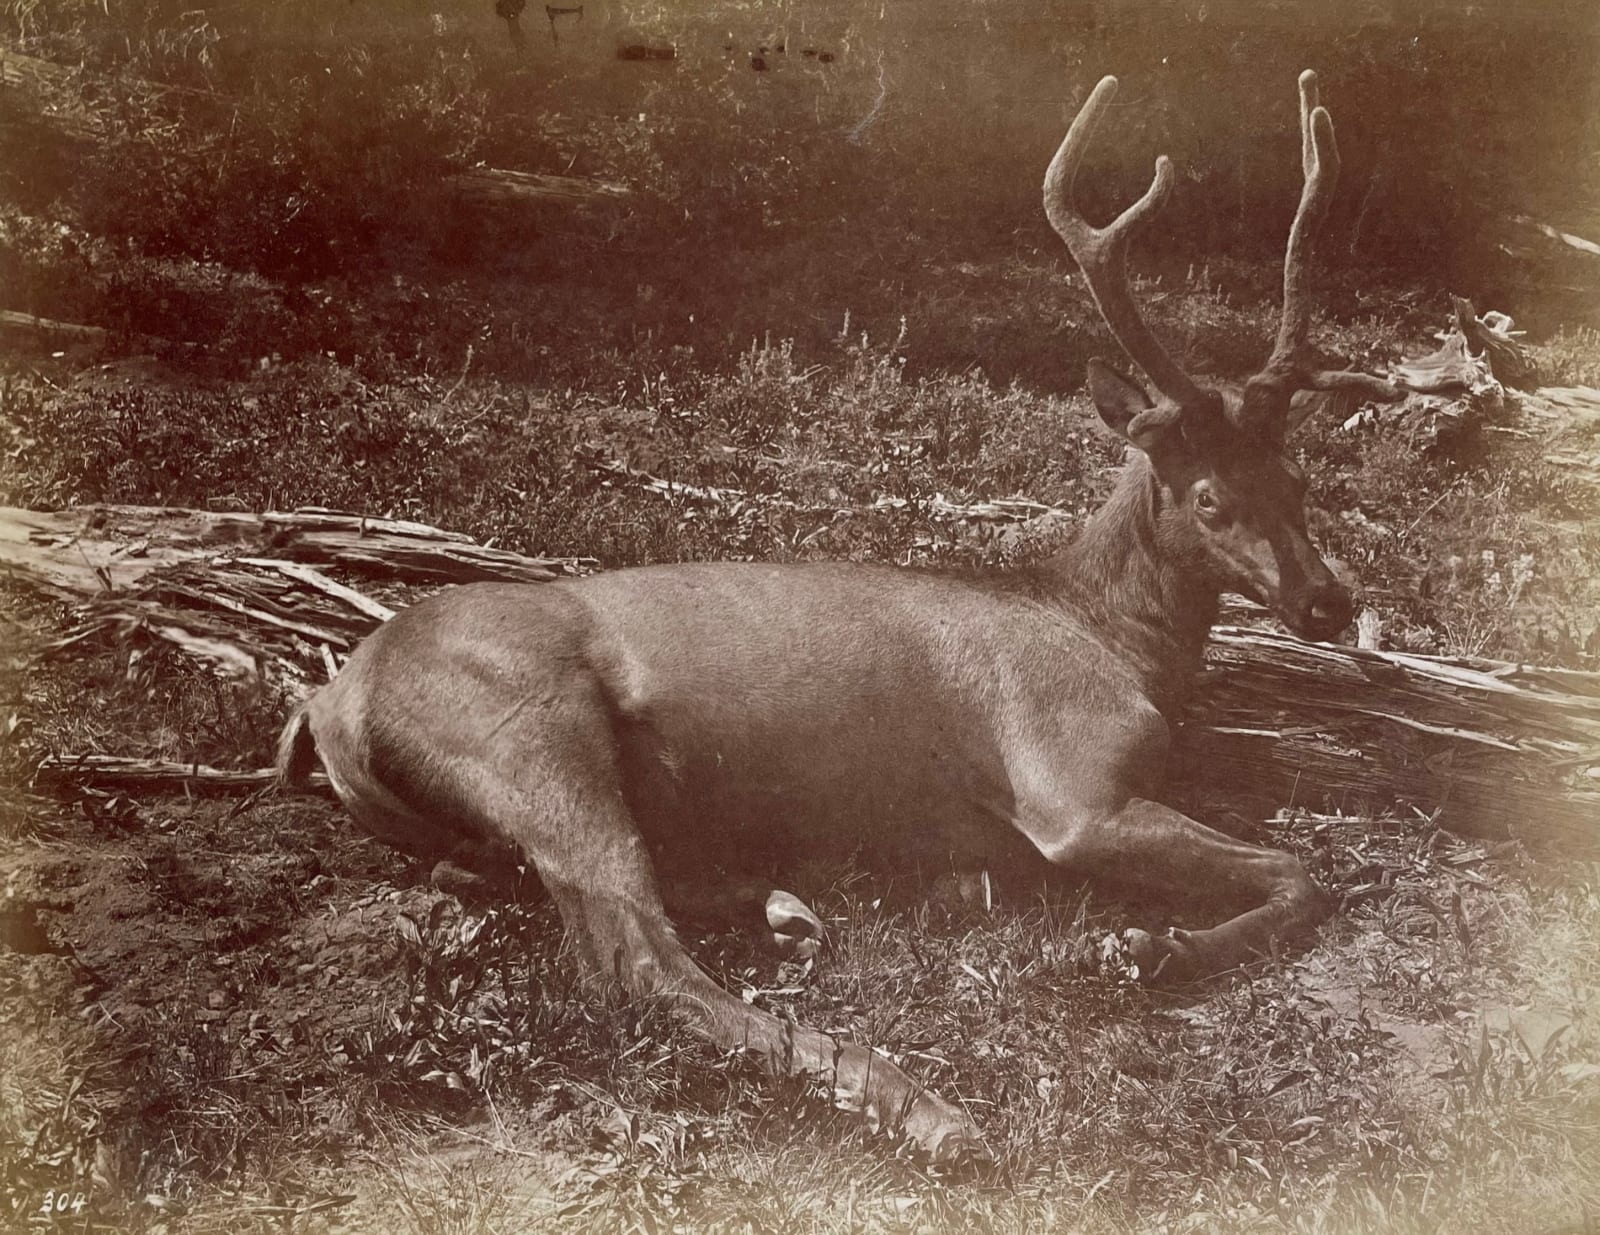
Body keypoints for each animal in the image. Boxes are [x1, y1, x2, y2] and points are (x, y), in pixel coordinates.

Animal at [278, 71, 1396, 1164]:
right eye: (1209, 496)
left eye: (1299, 479)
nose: (1328, 600)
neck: (1110, 635)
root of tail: (327, 700)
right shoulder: (1069, 783)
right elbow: (1306, 872)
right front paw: (1149, 948)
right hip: (530, 731)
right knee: (636, 959)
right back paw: (921, 1105)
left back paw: (787, 909)